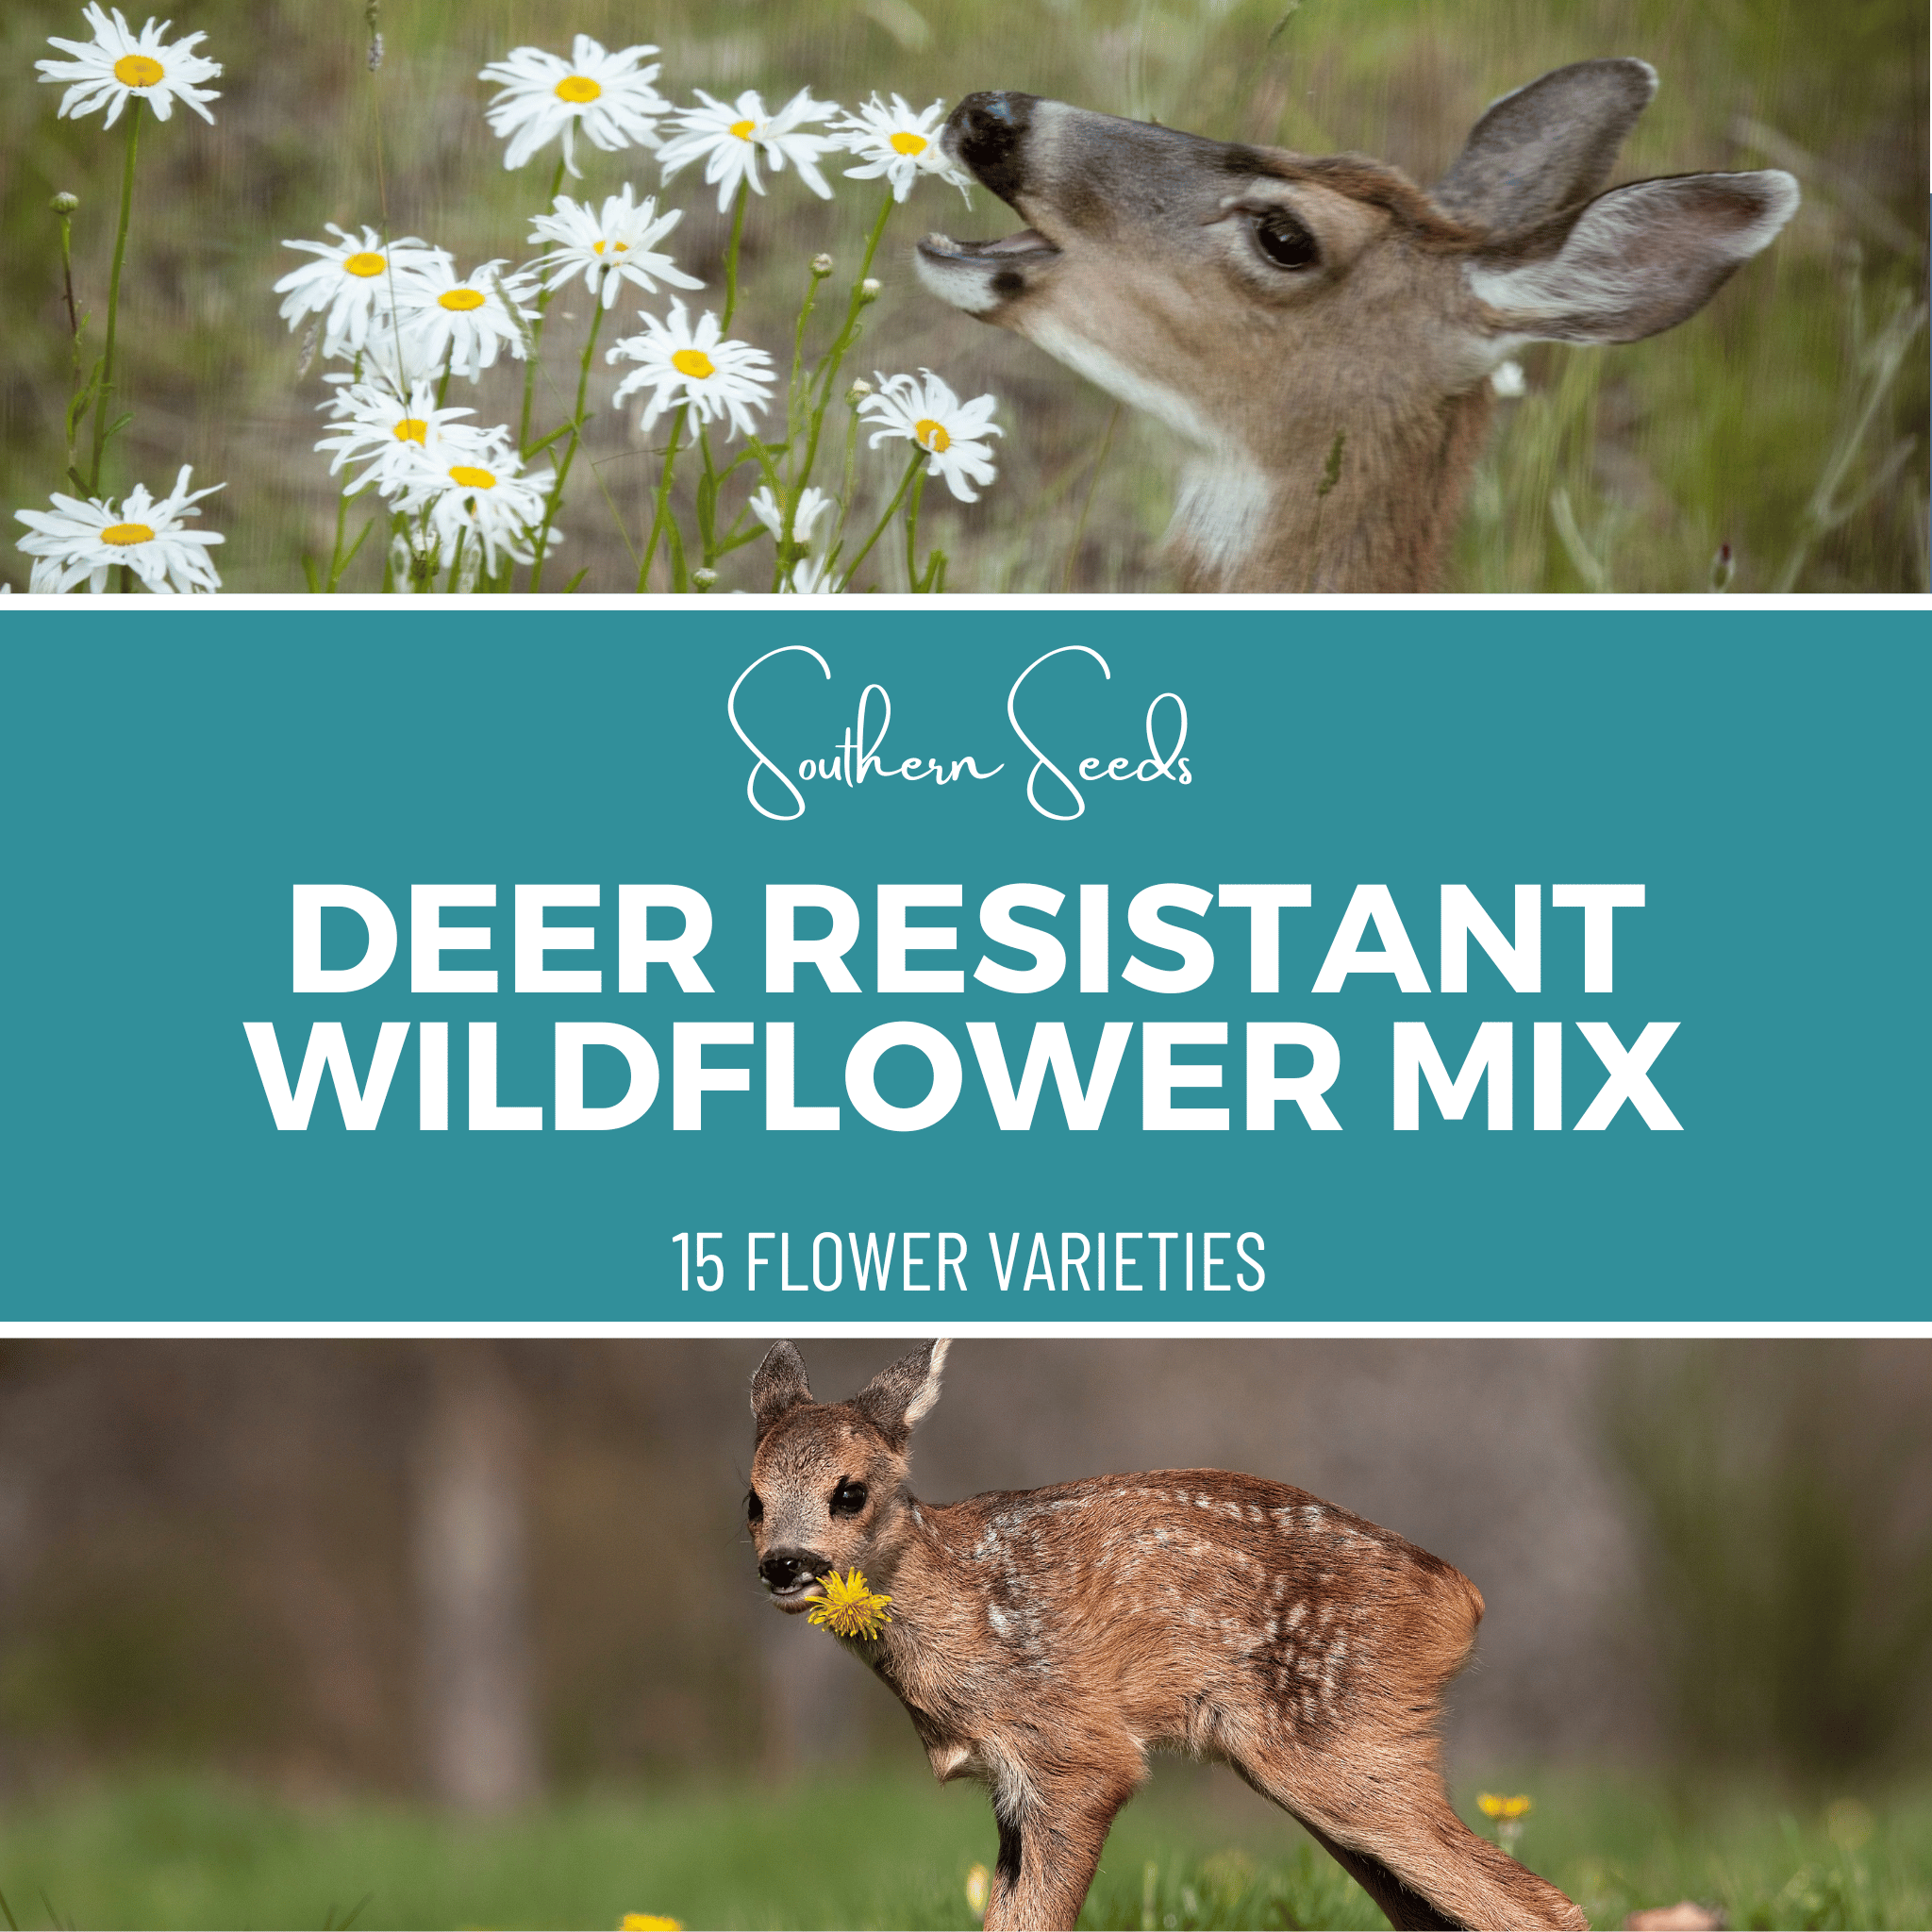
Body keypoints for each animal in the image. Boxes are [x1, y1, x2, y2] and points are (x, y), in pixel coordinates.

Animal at [746, 1339, 1586, 1932]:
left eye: (850, 1492)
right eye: (753, 1499)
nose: (783, 1564)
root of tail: (1459, 1598)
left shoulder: (1077, 1752)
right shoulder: (1013, 1785)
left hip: (1346, 1745)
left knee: (1543, 1908)